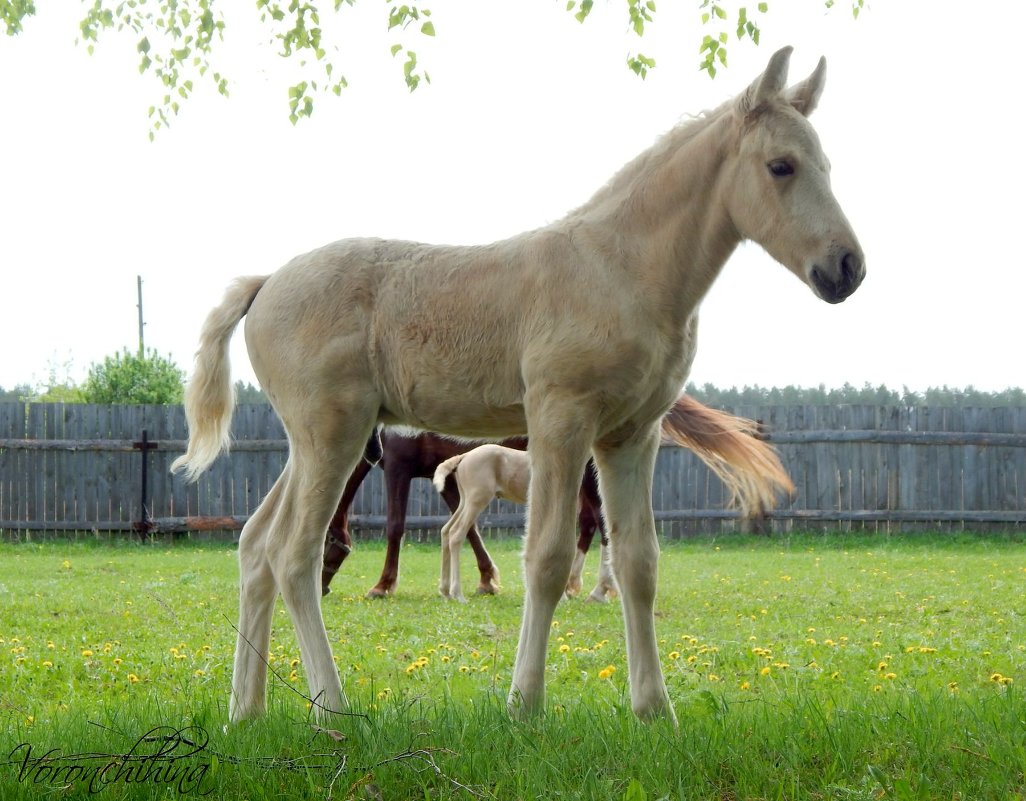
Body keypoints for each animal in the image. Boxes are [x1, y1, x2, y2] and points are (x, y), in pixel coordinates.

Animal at [320, 430, 607, 594]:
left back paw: (601, 589)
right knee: (589, 522)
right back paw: (574, 584)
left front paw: (383, 586)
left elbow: (395, 527)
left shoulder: (397, 468)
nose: (321, 589)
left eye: (324, 542)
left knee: (602, 521)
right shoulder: (446, 481)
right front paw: (486, 580)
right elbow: (469, 531)